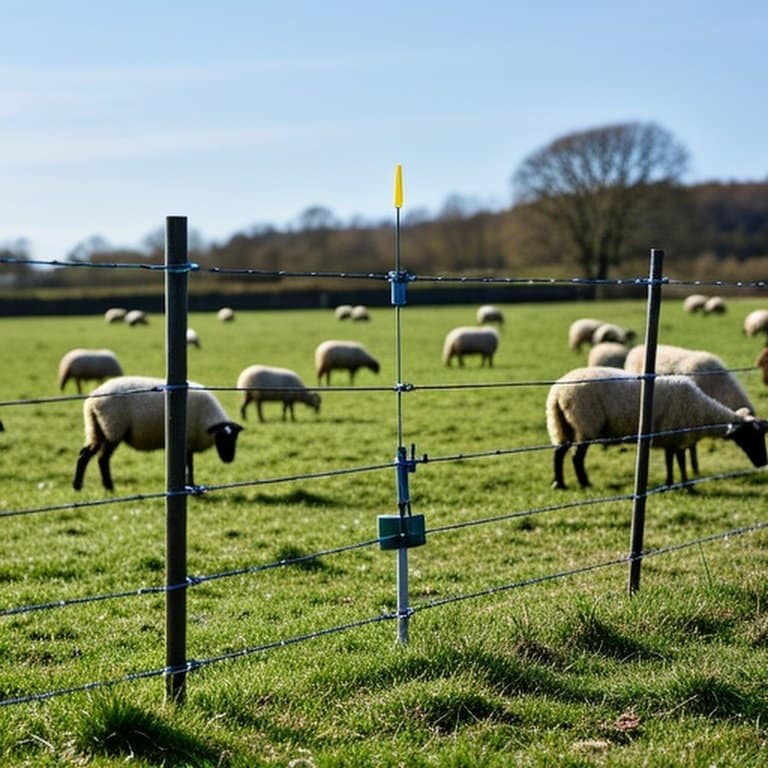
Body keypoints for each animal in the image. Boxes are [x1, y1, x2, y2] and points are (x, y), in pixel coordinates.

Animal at [73, 375, 243, 491]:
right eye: (220, 437)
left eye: (234, 438)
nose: (229, 459)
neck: (207, 418)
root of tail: (93, 401)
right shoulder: (187, 440)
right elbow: (189, 466)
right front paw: (190, 486)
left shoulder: (189, 443)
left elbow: (189, 466)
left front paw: (191, 485)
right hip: (113, 428)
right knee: (103, 458)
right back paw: (109, 487)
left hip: (96, 428)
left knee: (84, 454)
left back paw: (78, 486)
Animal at [546, 366, 767, 489]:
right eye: (751, 437)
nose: (763, 462)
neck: (702, 411)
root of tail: (558, 392)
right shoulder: (677, 433)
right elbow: (679, 461)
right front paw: (685, 485)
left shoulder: (672, 437)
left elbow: (671, 461)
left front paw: (671, 483)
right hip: (586, 421)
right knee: (577, 456)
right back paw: (584, 483)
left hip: (561, 423)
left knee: (559, 452)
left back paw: (560, 484)